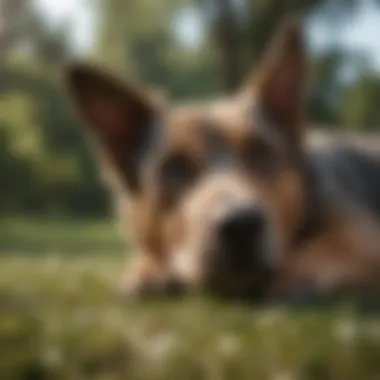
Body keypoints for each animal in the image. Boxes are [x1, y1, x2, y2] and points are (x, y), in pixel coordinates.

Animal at [63, 20, 380, 300]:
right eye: (174, 167)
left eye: (261, 152)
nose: (241, 226)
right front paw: (146, 269)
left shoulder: (361, 240)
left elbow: (315, 251)